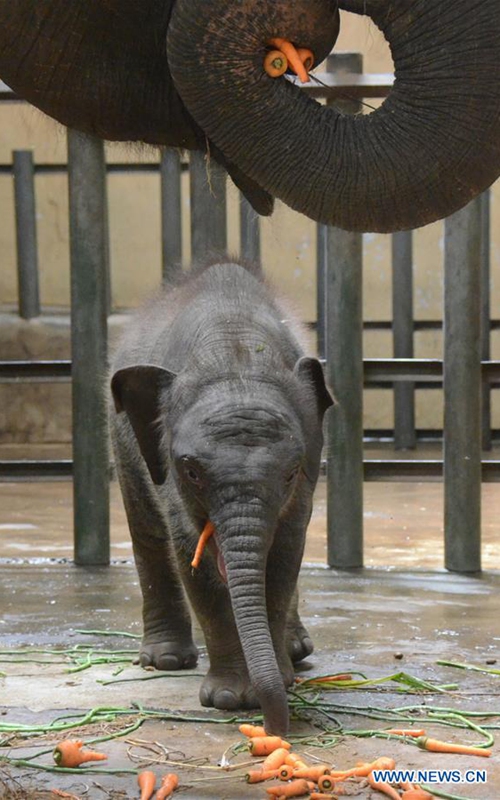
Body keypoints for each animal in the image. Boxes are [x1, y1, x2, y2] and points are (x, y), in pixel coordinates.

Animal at [109, 260, 334, 735]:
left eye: (290, 473)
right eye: (192, 472)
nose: (275, 728)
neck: (236, 352)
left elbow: (284, 555)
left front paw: (278, 683)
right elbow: (189, 557)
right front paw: (231, 700)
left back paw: (296, 653)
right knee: (147, 533)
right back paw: (165, 661)